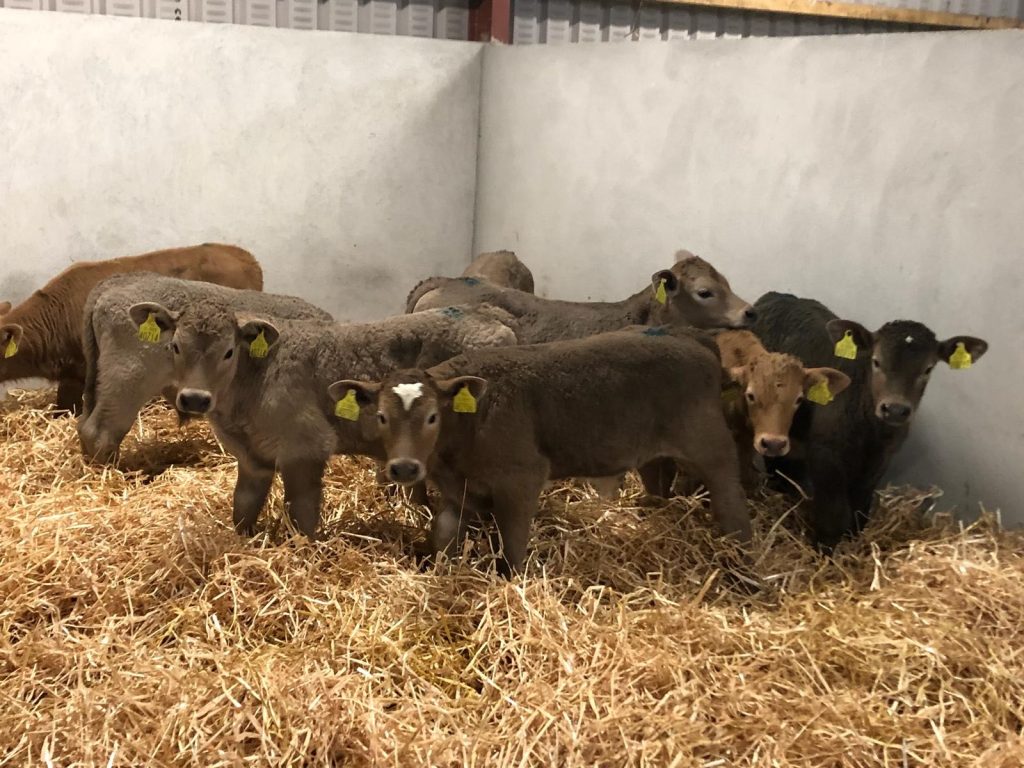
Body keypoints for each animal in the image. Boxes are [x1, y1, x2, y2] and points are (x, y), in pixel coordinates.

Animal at [151, 305, 516, 538]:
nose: (194, 398)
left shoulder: (306, 445)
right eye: (175, 346)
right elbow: (243, 505)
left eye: (229, 351)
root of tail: (490, 316)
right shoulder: (252, 456)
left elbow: (302, 511)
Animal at [331, 329, 751, 575]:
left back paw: (743, 563)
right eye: (381, 416)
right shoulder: (457, 490)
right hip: (654, 453)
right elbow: (444, 535)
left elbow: (513, 547)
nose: (403, 468)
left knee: (733, 502)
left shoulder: (522, 478)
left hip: (712, 447)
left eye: (433, 416)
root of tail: (699, 345)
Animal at [752, 291, 988, 551]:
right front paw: (825, 550)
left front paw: (855, 541)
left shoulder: (881, 459)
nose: (895, 409)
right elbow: (832, 513)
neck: (869, 432)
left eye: (928, 369)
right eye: (876, 361)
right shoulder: (825, 455)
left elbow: (859, 507)